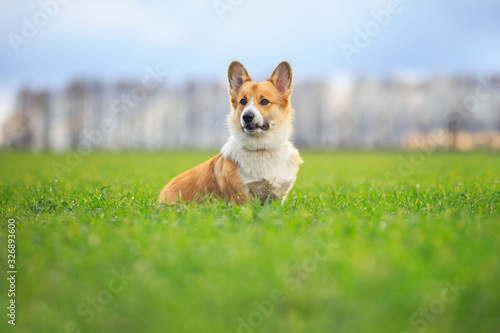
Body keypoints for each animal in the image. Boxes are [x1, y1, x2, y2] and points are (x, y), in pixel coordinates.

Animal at [158, 60, 302, 204]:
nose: (247, 116)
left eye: (264, 101)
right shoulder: (241, 196)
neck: (261, 148)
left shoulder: (278, 196)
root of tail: (162, 192)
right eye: (243, 101)